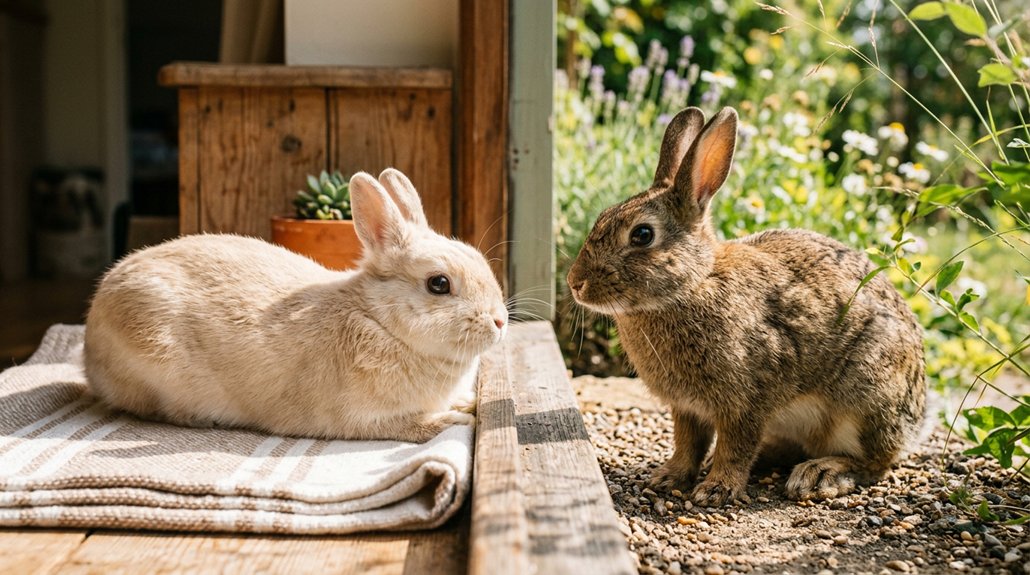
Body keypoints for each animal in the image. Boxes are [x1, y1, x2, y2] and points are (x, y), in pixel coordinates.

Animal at [84, 168, 508, 442]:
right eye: (439, 284)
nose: (500, 322)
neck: (378, 321)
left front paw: (468, 403)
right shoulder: (366, 419)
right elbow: (415, 427)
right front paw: (455, 419)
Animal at [567, 107, 925, 505]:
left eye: (642, 235)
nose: (575, 282)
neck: (695, 283)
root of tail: (917, 419)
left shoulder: (747, 402)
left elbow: (735, 447)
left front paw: (716, 490)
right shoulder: (686, 408)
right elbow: (688, 445)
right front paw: (668, 477)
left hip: (863, 401)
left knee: (875, 462)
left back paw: (819, 474)